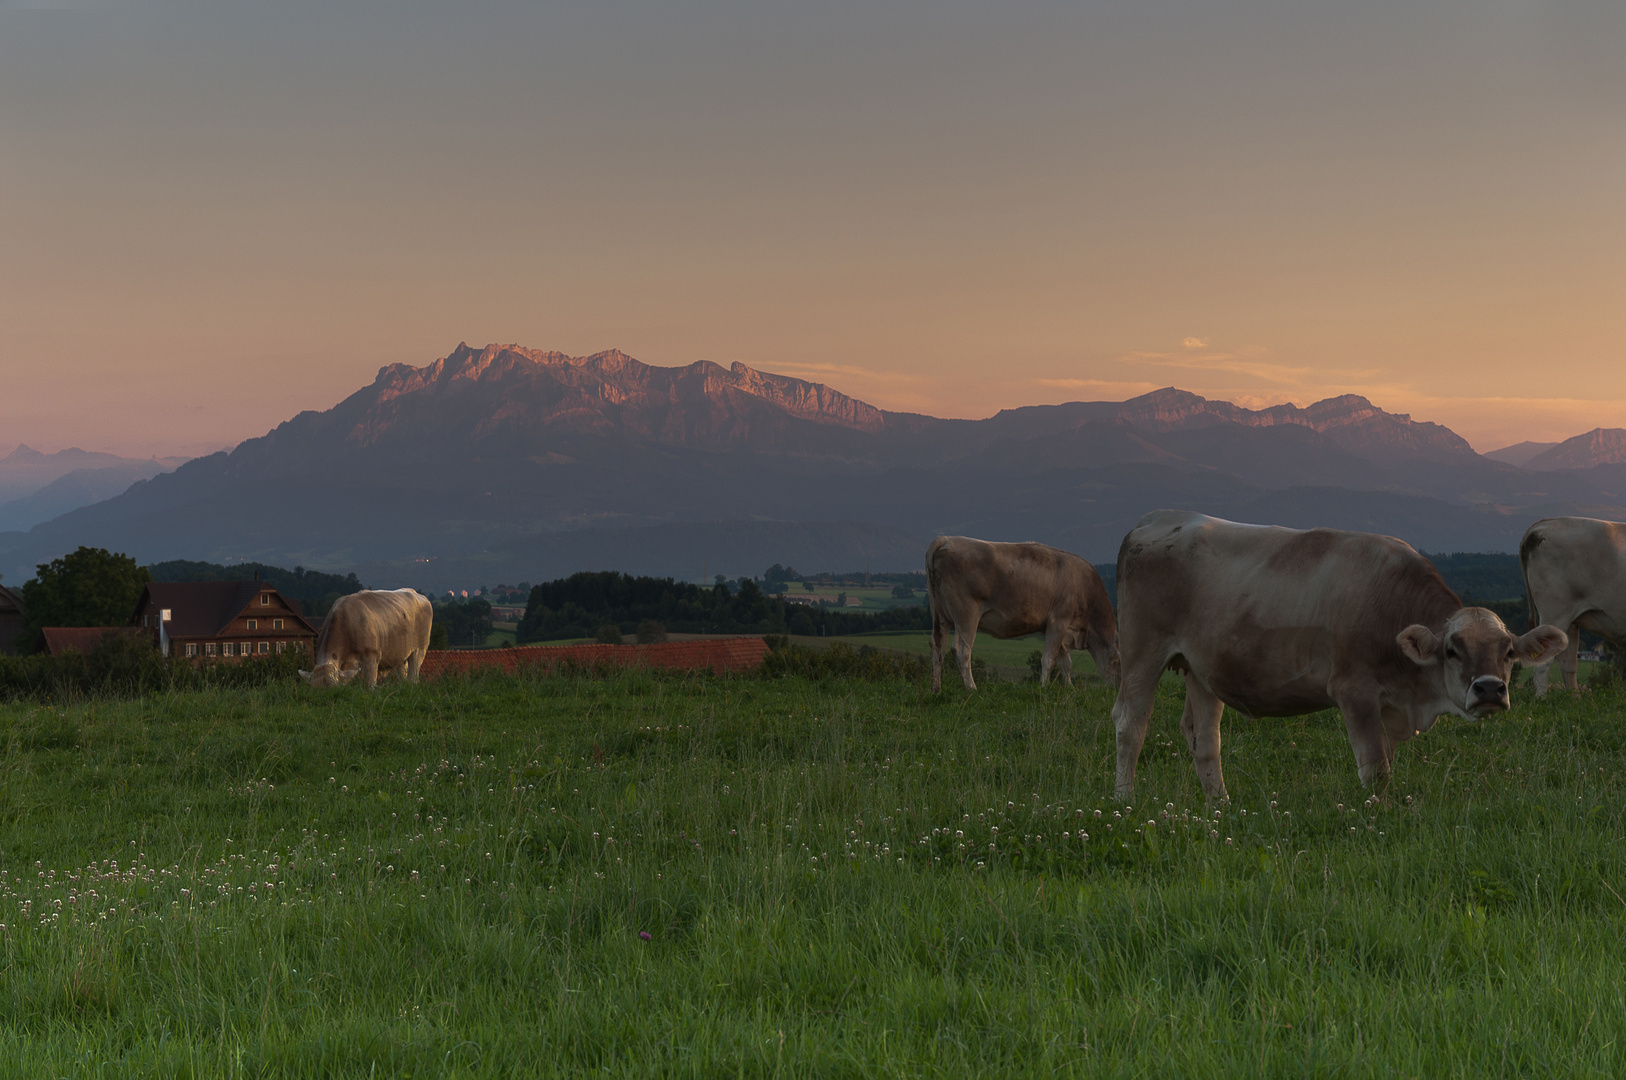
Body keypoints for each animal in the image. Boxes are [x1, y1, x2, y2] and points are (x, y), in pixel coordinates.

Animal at [295, 585, 429, 686]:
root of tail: (417, 594)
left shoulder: (371, 656)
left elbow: (370, 685)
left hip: (420, 650)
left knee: (414, 676)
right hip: (400, 654)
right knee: (402, 673)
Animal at [930, 533, 1118, 692]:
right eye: (1119, 660)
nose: (1118, 689)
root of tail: (946, 539)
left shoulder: (1061, 630)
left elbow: (1065, 663)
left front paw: (1069, 688)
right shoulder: (1059, 621)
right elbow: (1049, 659)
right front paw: (1044, 688)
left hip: (940, 615)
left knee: (937, 648)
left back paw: (936, 689)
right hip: (967, 615)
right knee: (962, 650)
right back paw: (971, 688)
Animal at [1118, 510, 1560, 796]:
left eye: (1508, 652)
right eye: (1452, 650)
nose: (1489, 690)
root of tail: (1155, 519)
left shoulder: (1391, 704)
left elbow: (1385, 761)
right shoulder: (1354, 690)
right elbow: (1375, 767)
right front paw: (1377, 815)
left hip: (1202, 668)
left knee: (1205, 739)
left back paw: (1219, 808)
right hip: (1141, 652)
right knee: (1130, 726)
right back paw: (1126, 802)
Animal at [1515, 517, 1626, 699]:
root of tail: (1543, 523)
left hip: (1571, 621)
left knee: (1568, 662)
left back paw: (1575, 699)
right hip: (1554, 613)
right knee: (1544, 662)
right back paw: (1541, 699)